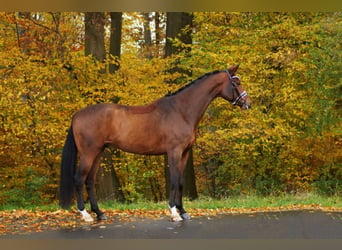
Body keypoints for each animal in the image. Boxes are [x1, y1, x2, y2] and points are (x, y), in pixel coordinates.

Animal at [59, 65, 251, 223]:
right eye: (237, 82)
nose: (248, 103)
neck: (181, 111)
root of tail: (77, 115)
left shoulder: (185, 153)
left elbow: (180, 182)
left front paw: (183, 211)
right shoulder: (174, 152)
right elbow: (173, 180)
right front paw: (174, 213)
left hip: (98, 153)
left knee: (90, 181)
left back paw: (99, 213)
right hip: (88, 153)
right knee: (79, 179)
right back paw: (85, 215)